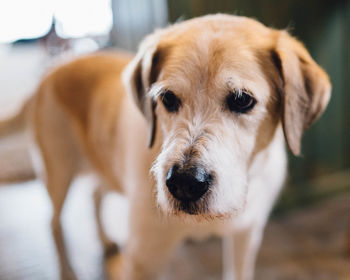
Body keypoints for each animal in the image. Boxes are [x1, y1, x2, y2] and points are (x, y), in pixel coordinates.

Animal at [0, 14, 330, 280]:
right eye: (168, 98)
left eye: (242, 100)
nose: (184, 183)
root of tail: (50, 74)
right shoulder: (143, 257)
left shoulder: (245, 237)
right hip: (58, 173)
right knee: (54, 224)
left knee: (94, 193)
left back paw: (105, 240)